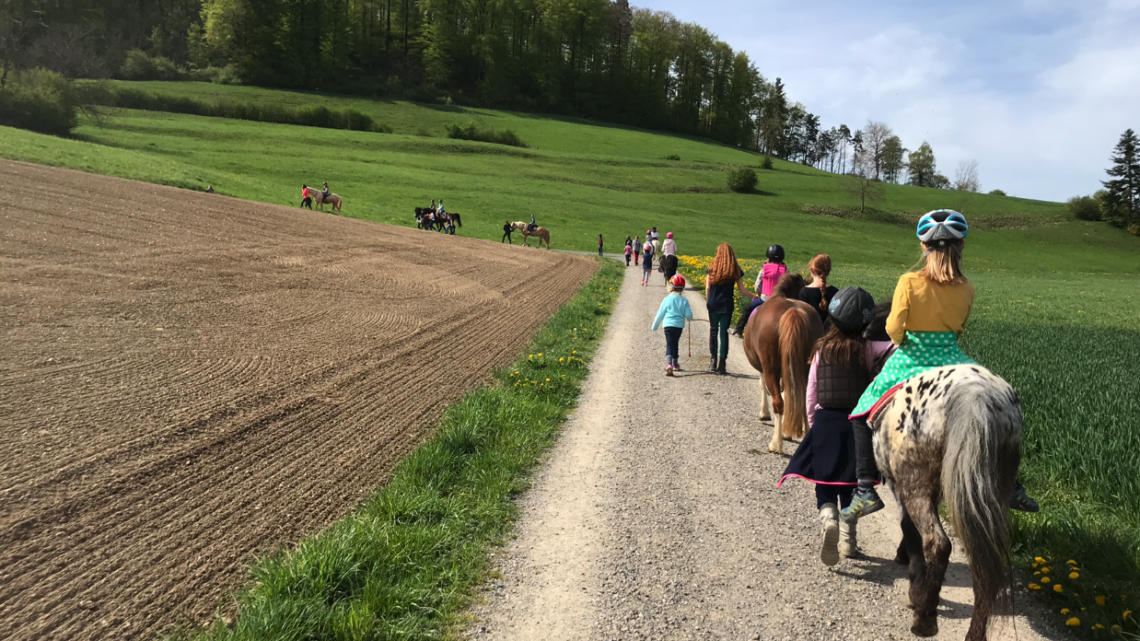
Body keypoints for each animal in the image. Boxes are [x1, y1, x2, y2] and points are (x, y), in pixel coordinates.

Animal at [743, 271, 825, 451]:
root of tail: (792, 311)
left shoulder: (763, 368)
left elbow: (763, 386)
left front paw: (764, 414)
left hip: (771, 369)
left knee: (778, 402)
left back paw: (775, 443)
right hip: (806, 369)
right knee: (803, 399)